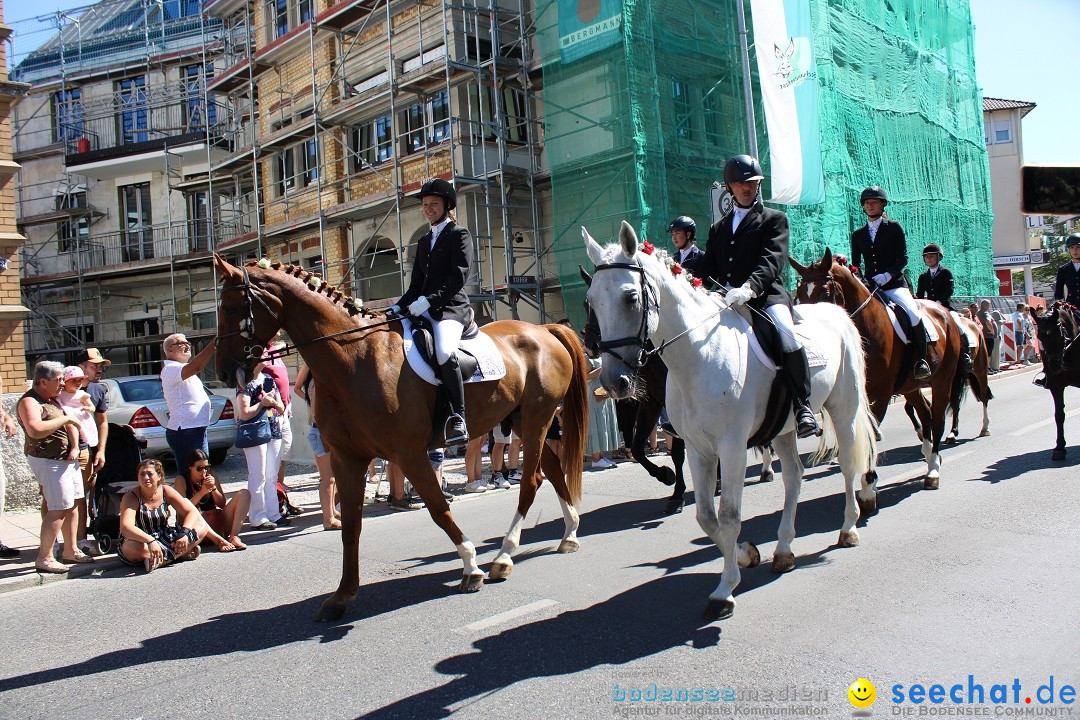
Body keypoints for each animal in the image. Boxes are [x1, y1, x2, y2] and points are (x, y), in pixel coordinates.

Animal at [211, 255, 591, 621]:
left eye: (230, 308)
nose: (225, 372)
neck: (354, 358)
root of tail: (543, 329)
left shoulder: (408, 452)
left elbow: (438, 508)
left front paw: (471, 567)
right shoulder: (347, 458)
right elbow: (351, 525)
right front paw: (341, 597)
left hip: (536, 419)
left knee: (533, 480)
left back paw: (504, 556)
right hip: (522, 421)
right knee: (551, 470)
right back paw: (569, 534)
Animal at [583, 222, 876, 621]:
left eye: (630, 298)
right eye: (591, 301)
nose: (614, 382)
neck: (699, 354)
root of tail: (836, 312)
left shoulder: (732, 446)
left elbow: (730, 514)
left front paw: (724, 590)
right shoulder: (698, 448)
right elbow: (707, 517)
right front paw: (746, 554)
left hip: (844, 411)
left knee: (847, 466)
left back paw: (848, 529)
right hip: (782, 429)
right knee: (794, 477)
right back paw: (783, 550)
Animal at [790, 248, 967, 496]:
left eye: (824, 293)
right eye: (798, 296)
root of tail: (946, 313)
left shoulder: (880, 395)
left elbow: (871, 433)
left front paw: (868, 486)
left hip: (943, 381)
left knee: (939, 418)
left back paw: (933, 470)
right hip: (911, 386)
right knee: (925, 412)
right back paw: (929, 454)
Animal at [1028, 302, 1080, 462]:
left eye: (1060, 335)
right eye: (1040, 336)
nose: (1055, 366)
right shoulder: (1056, 386)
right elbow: (1059, 415)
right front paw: (1059, 448)